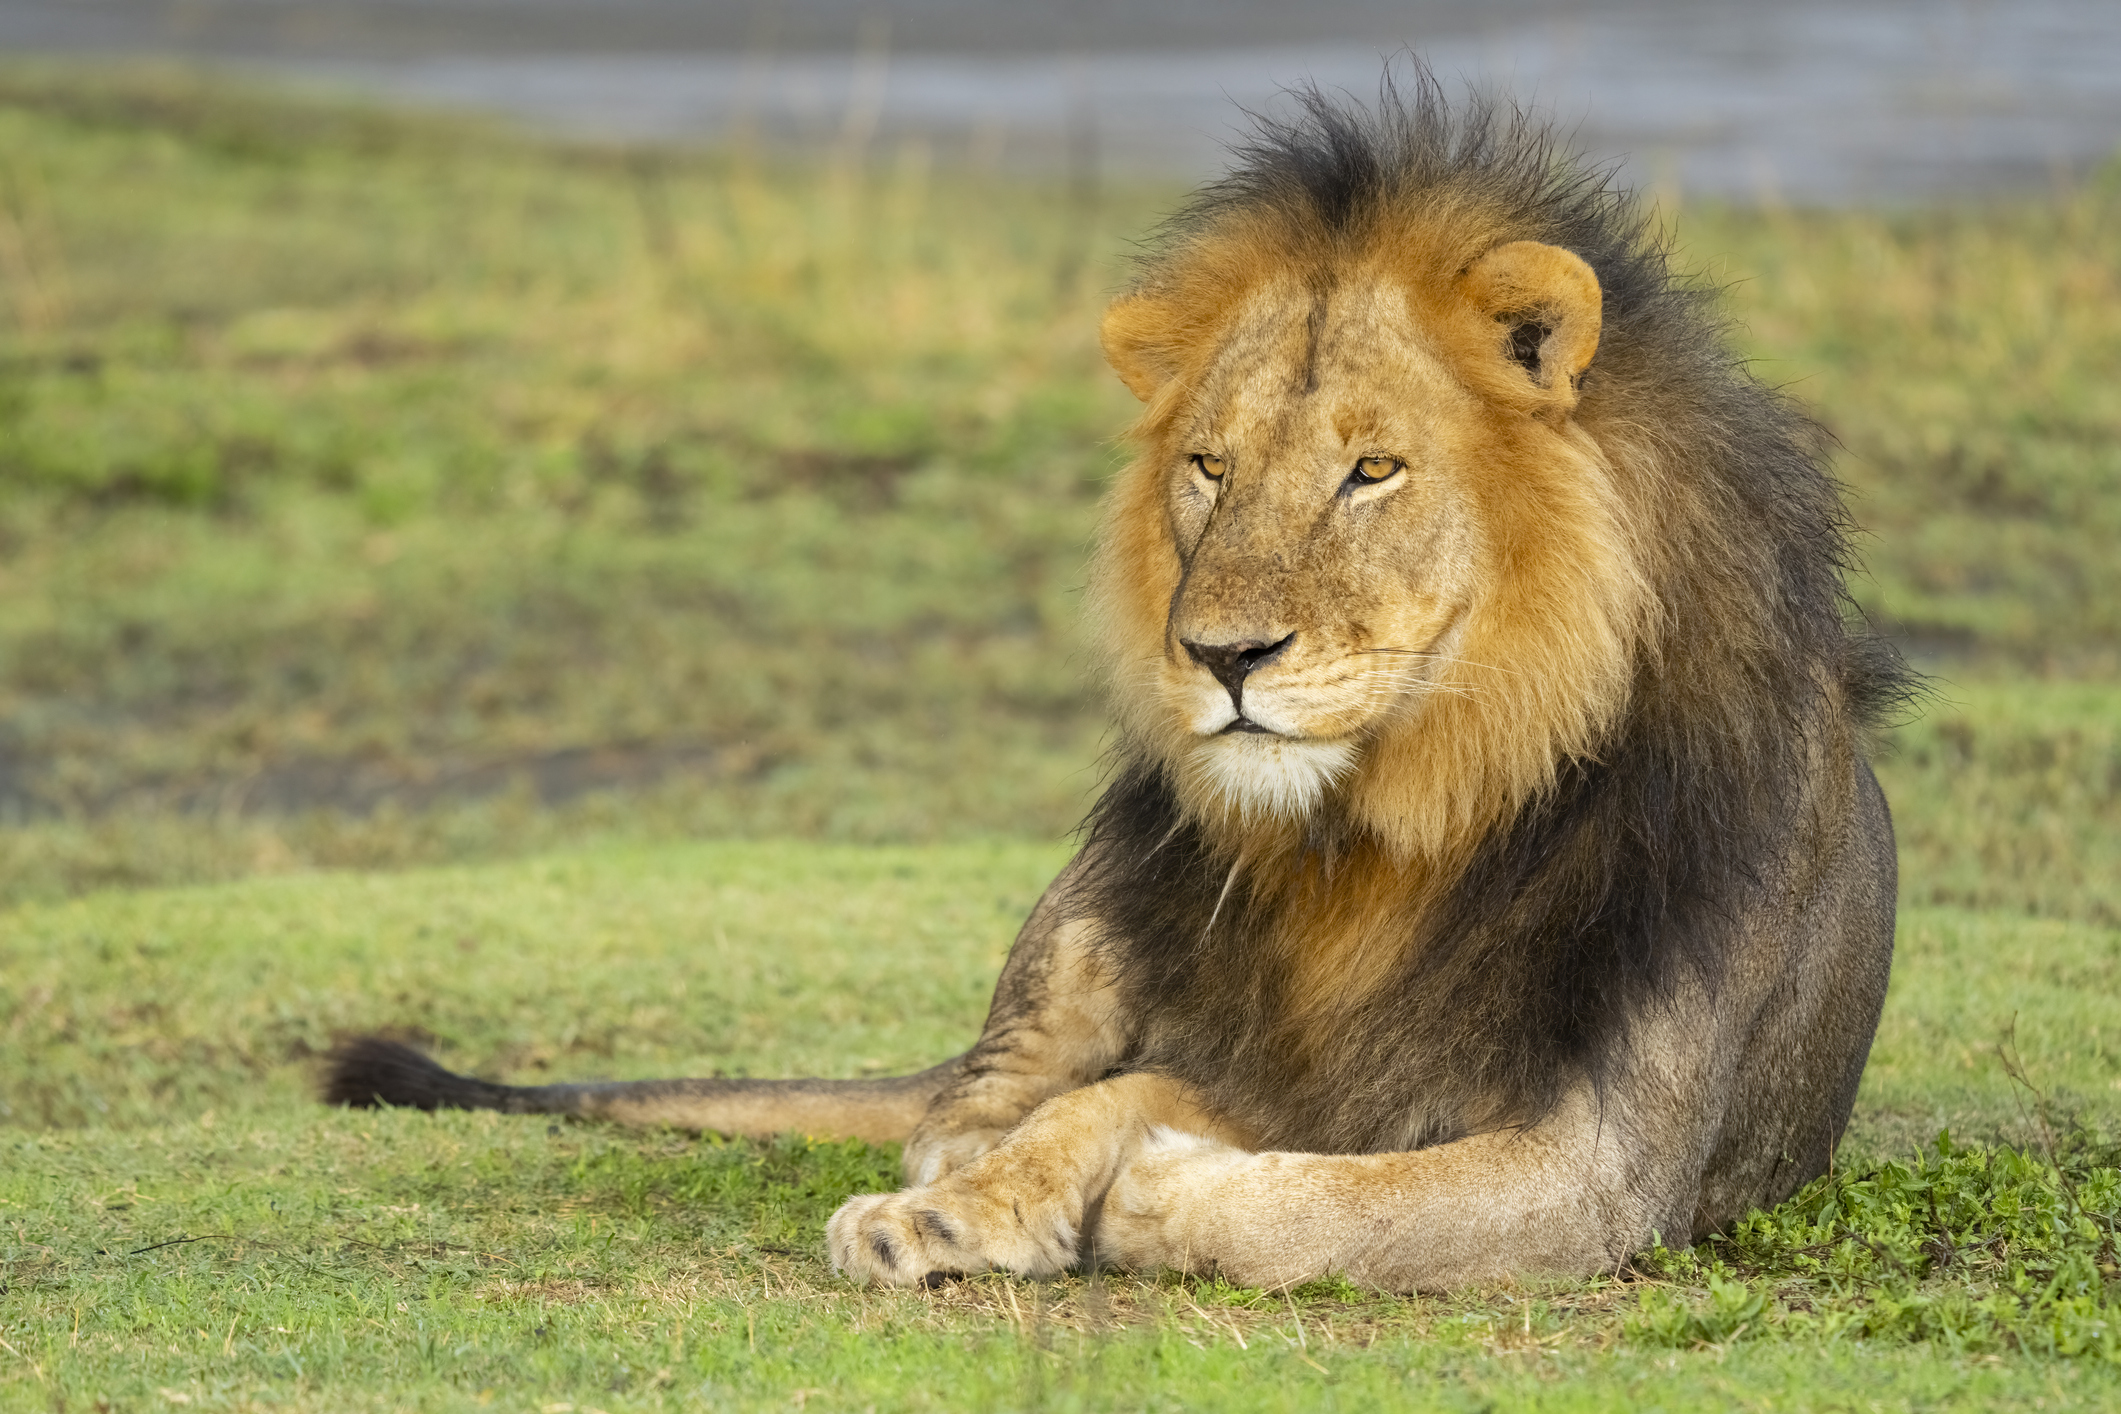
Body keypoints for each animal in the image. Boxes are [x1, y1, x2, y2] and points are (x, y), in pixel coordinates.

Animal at [322, 74, 1917, 1297]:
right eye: (1208, 465)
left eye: (1373, 468)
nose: (1221, 656)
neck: (1405, 817)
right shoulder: (1273, 1057)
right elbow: (1142, 1104)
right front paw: (1039, 1184)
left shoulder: (1606, 1166)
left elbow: (1337, 1195)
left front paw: (1157, 1191)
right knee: (958, 1110)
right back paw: (937, 1208)